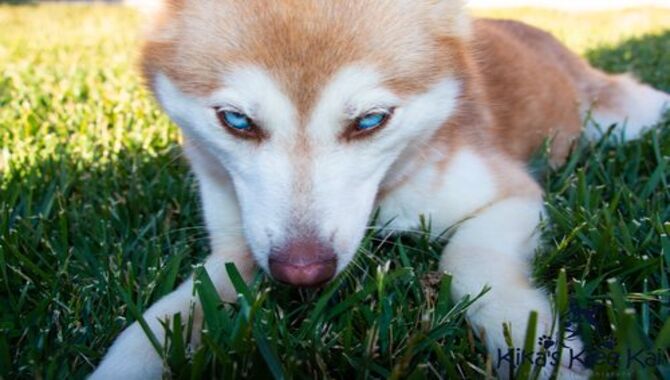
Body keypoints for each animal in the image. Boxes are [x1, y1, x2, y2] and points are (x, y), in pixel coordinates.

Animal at [90, 1, 670, 378]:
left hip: (618, 117)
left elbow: (469, 257)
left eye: (370, 120)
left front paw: (531, 345)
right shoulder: (236, 246)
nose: (302, 270)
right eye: (236, 120)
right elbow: (171, 311)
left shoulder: (512, 194)